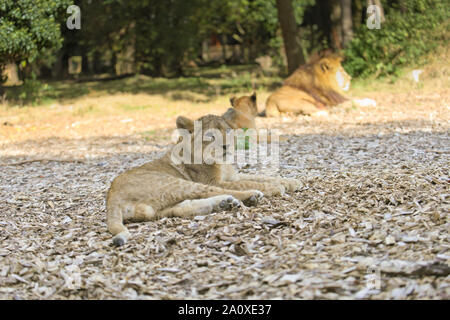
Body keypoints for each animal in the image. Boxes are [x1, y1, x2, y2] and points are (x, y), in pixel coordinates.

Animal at [107, 114, 300, 246]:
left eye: (227, 131)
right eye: (211, 136)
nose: (226, 146)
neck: (222, 163)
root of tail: (111, 196)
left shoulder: (233, 175)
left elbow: (259, 176)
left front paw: (291, 182)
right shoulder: (215, 181)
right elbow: (248, 182)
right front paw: (276, 187)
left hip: (159, 207)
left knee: (182, 208)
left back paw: (225, 203)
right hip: (177, 183)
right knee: (220, 192)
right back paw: (250, 196)